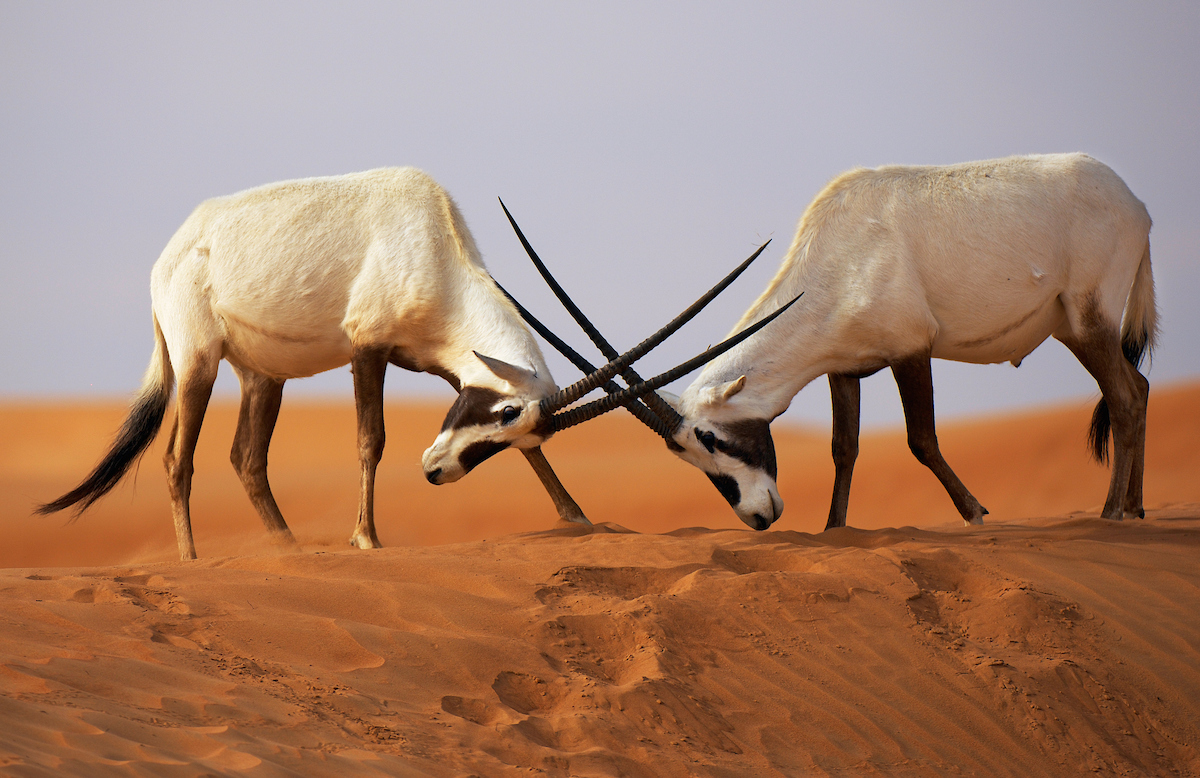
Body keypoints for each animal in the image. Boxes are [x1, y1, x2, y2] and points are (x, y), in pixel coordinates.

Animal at [39, 168, 777, 559]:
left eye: (513, 422)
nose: (435, 471)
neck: (433, 245)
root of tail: (176, 247)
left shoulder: (442, 366)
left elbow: (535, 457)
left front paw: (576, 517)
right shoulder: (368, 350)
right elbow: (371, 439)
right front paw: (366, 538)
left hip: (262, 376)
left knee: (247, 459)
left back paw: (289, 551)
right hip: (198, 362)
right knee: (176, 459)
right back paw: (192, 559)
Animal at [511, 154, 1156, 530]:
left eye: (713, 439)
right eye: (691, 456)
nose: (759, 517)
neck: (838, 260)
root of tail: (1136, 203)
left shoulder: (910, 351)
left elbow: (921, 439)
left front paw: (976, 513)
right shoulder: (844, 369)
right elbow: (844, 449)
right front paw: (835, 530)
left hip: (1090, 318)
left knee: (1124, 396)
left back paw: (1111, 514)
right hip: (1074, 327)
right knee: (1140, 387)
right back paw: (1136, 507)